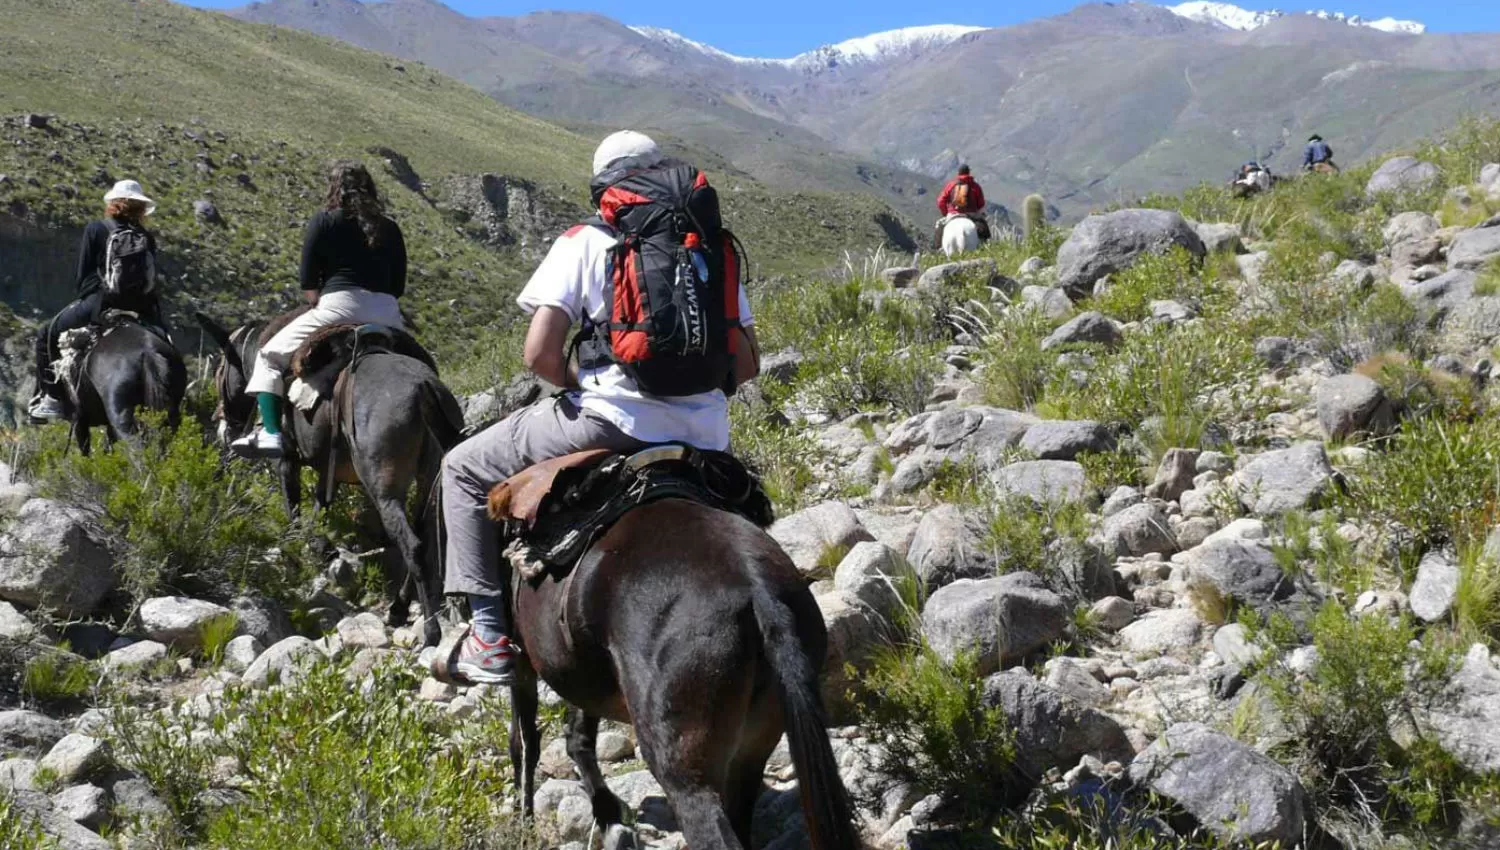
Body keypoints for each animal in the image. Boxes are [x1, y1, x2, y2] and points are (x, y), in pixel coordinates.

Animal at [198, 313, 462, 644]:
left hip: (385, 491)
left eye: (219, 370)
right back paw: (399, 607)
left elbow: (294, 511)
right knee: (426, 541)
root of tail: (423, 387)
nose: (222, 427)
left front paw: (308, 549)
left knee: (412, 545)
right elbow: (317, 509)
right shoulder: (329, 473)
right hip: (429, 484)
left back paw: (428, 628)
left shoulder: (287, 461)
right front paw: (322, 548)